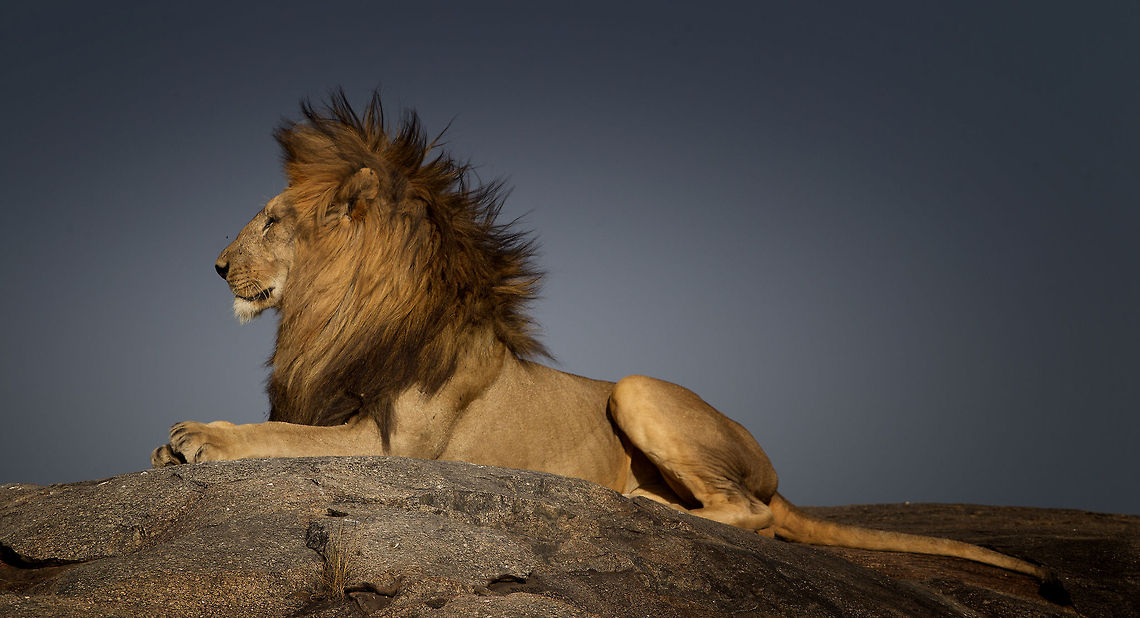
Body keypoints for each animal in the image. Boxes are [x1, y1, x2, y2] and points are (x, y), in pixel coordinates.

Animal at [152, 91, 1066, 601]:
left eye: (274, 220)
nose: (216, 265)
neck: (334, 315)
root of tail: (779, 475)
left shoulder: (393, 445)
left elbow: (276, 437)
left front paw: (195, 438)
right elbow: (282, 428)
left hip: (636, 388)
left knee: (753, 516)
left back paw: (648, 506)